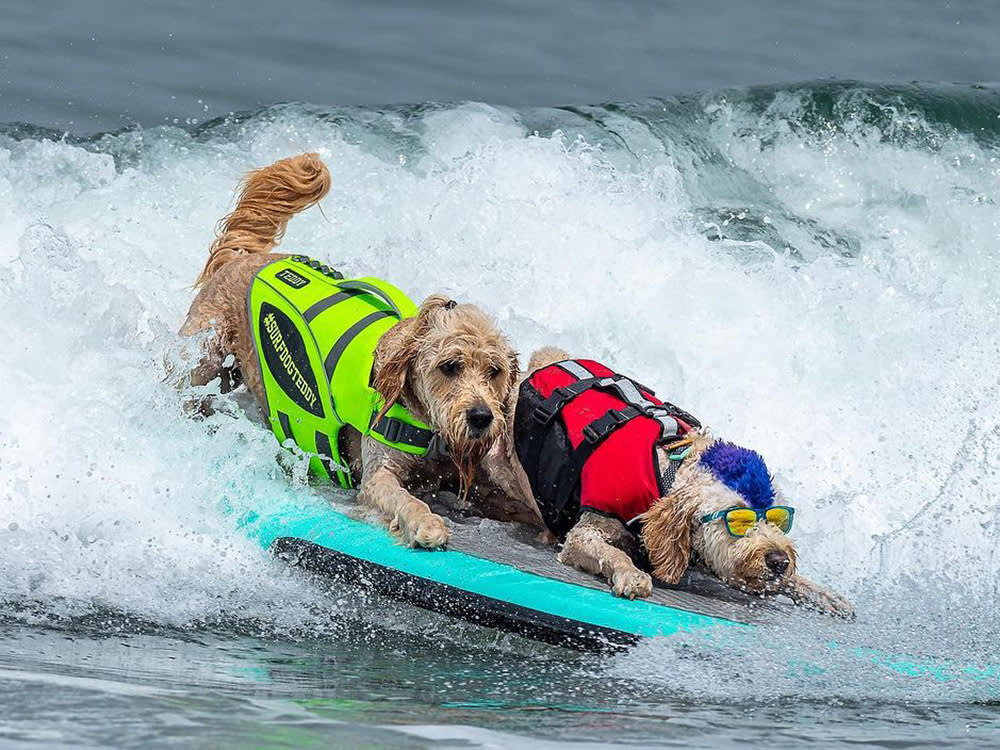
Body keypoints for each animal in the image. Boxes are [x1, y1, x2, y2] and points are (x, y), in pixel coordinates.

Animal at [516, 350, 852, 620]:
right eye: (739, 519)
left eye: (778, 518)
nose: (779, 560)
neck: (667, 470)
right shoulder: (586, 532)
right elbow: (609, 551)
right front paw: (631, 573)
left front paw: (819, 591)